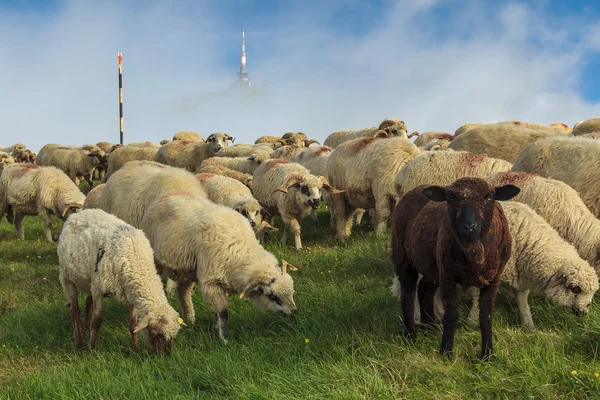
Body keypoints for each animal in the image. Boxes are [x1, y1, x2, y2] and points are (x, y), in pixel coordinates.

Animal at [57, 209, 182, 354]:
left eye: (173, 336)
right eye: (155, 334)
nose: (162, 356)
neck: (136, 259)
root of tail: (77, 214)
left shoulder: (131, 293)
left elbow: (133, 323)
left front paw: (135, 349)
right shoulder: (98, 289)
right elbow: (97, 320)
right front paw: (90, 348)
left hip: (89, 281)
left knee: (88, 302)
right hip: (67, 277)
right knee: (75, 311)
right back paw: (79, 343)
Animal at [143, 192, 298, 342]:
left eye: (292, 292)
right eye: (273, 297)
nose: (294, 312)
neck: (238, 248)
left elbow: (216, 314)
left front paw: (215, 330)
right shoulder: (211, 283)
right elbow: (223, 314)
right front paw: (224, 339)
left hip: (186, 270)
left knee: (183, 292)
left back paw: (191, 322)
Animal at [392, 178, 524, 360]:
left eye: (489, 196)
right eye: (450, 197)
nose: (469, 227)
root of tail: (417, 188)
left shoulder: (492, 279)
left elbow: (486, 317)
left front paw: (487, 355)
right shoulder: (449, 277)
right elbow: (451, 315)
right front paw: (446, 353)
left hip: (435, 265)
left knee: (425, 289)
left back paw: (430, 327)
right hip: (404, 257)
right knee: (407, 296)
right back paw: (411, 336)